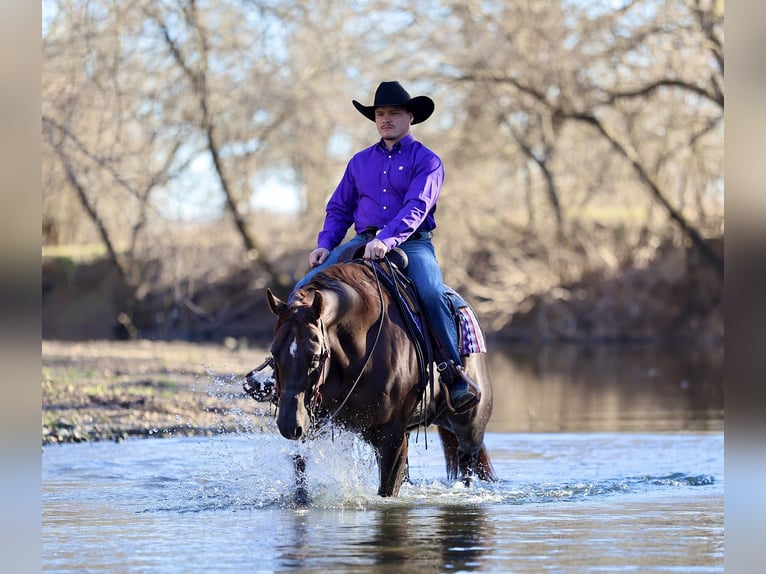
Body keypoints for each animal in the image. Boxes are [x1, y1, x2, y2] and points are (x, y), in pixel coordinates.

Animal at [253, 259, 497, 497]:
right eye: (274, 353)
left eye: (315, 356)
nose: (288, 425)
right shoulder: (316, 426)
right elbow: (301, 474)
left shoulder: (392, 436)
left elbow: (386, 491)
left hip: (469, 430)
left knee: (467, 465)